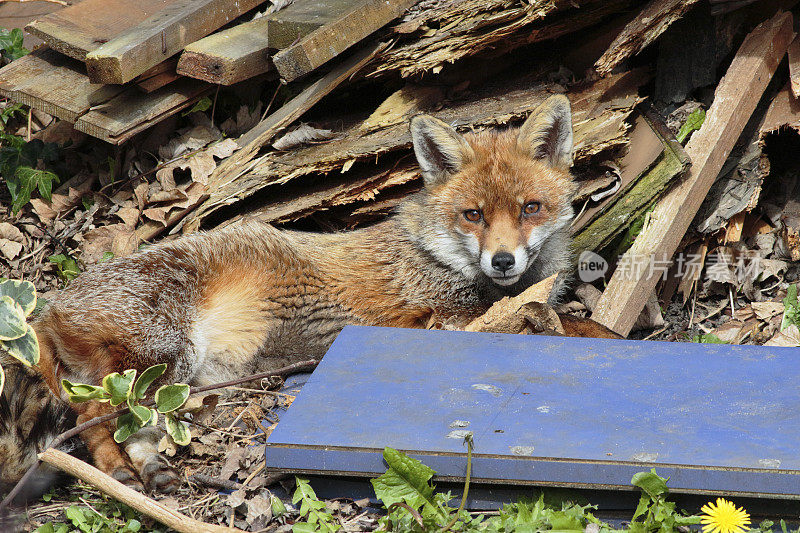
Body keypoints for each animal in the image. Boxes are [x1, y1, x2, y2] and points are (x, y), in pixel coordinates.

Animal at [1, 93, 620, 496]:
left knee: (118, 423)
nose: (504, 260)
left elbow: (579, 321)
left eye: (529, 209)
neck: (437, 257)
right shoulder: (436, 319)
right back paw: (113, 471)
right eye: (473, 215)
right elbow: (574, 323)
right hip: (161, 355)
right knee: (91, 417)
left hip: (166, 383)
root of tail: (49, 305)